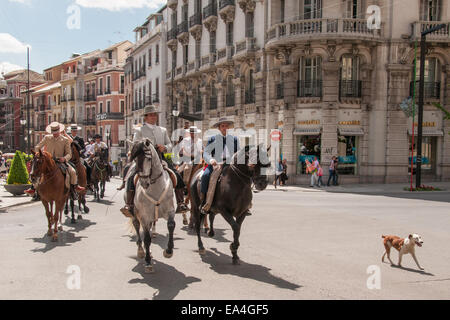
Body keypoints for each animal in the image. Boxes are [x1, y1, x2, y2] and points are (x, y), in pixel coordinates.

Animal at [125, 139, 177, 274]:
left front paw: (168, 251)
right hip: (135, 214)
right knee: (138, 228)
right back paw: (141, 251)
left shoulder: (170, 211)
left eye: (148, 159)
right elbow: (147, 239)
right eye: (134, 159)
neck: (155, 187)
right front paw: (148, 262)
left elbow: (171, 226)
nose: (143, 182)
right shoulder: (144, 216)